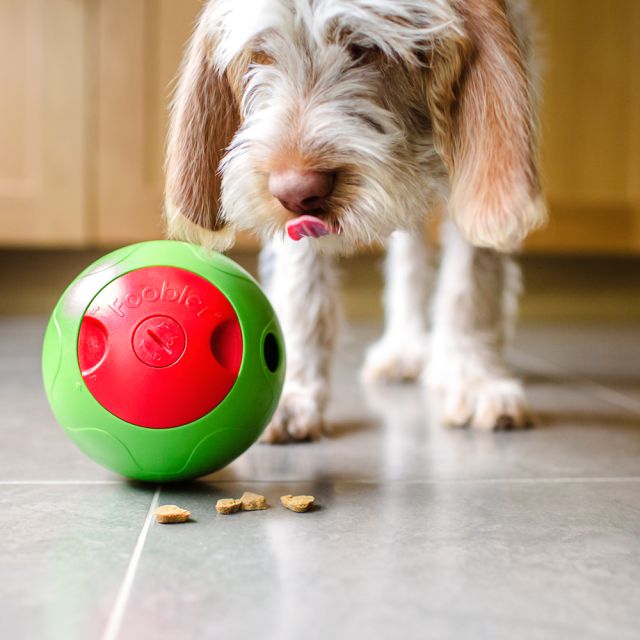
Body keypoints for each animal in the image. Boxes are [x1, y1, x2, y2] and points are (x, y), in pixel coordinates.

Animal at [164, 0, 544, 442]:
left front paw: (475, 378)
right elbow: (302, 291)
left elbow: (473, 278)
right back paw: (404, 348)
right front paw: (292, 390)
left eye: (365, 48)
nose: (295, 191)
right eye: (261, 54)